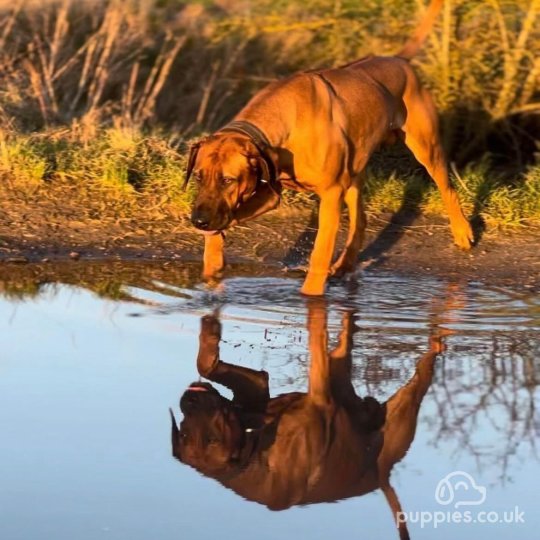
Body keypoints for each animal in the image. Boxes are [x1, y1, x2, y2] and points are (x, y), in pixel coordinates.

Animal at [171, 304, 446, 540]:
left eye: (211, 439)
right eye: (184, 434)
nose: (189, 400)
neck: (254, 448)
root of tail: (383, 475)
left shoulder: (259, 389)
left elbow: (207, 367)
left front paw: (210, 331)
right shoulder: (318, 397)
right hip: (398, 409)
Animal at [186, 0, 472, 296]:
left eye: (228, 180)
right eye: (198, 176)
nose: (197, 221)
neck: (284, 121)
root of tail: (399, 60)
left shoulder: (331, 194)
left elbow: (319, 253)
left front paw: (310, 296)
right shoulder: (267, 187)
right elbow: (229, 217)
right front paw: (212, 262)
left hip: (426, 147)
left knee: (447, 188)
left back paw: (462, 232)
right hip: (355, 166)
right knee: (359, 221)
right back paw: (345, 265)